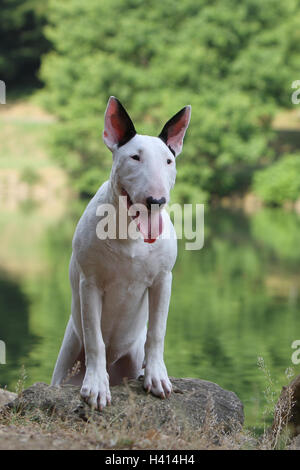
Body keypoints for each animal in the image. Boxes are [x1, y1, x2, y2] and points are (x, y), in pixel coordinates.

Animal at [51, 97, 191, 410]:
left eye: (169, 161)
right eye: (135, 158)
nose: (157, 200)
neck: (130, 232)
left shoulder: (163, 280)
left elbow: (157, 331)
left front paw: (157, 377)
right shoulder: (90, 284)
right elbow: (95, 338)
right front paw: (95, 386)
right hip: (66, 360)